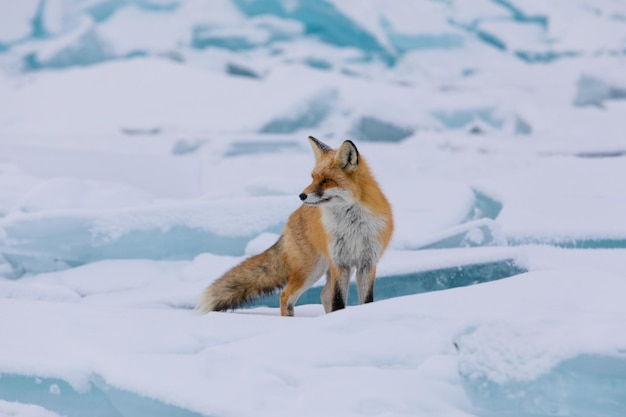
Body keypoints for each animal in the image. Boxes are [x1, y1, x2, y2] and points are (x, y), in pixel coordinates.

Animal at [193, 136, 392, 316]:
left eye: (326, 180)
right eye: (312, 178)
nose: (302, 195)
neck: (352, 226)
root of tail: (292, 216)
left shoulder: (367, 263)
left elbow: (365, 301)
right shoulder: (340, 263)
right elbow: (337, 301)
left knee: (322, 294)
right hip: (311, 270)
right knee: (286, 295)